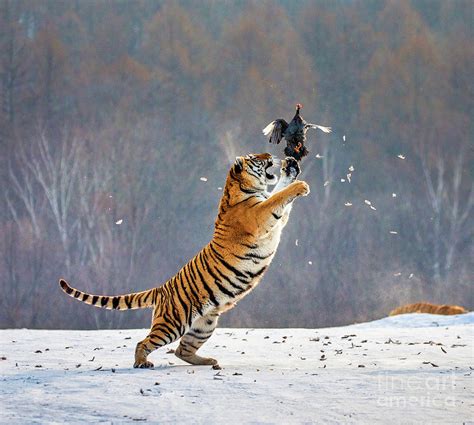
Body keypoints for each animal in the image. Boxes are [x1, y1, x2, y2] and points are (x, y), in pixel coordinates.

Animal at [59, 153, 310, 368]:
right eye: (254, 157)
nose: (270, 155)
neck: (244, 189)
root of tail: (161, 289)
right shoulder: (261, 215)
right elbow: (278, 196)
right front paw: (301, 185)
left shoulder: (277, 219)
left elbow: (280, 191)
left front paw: (291, 168)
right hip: (172, 323)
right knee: (144, 342)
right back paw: (142, 362)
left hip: (203, 325)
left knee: (182, 350)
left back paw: (208, 361)